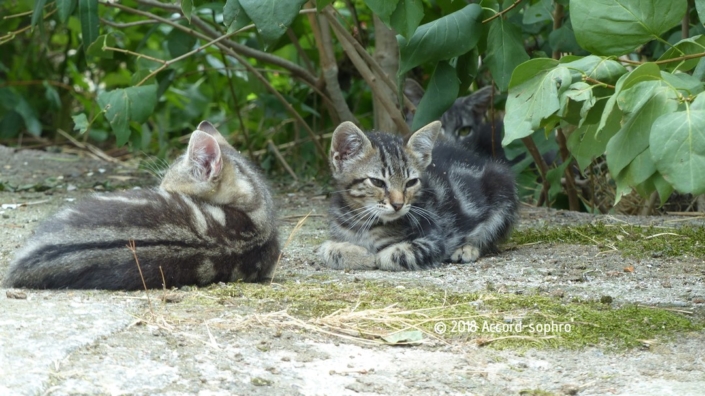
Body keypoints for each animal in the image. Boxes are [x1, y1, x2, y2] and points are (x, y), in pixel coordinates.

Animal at [320, 119, 516, 270]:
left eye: (411, 182)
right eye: (377, 182)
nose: (398, 204)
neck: (364, 222)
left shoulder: (434, 240)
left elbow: (392, 255)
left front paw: (373, 256)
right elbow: (325, 248)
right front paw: (356, 254)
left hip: (502, 187)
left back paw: (467, 248)